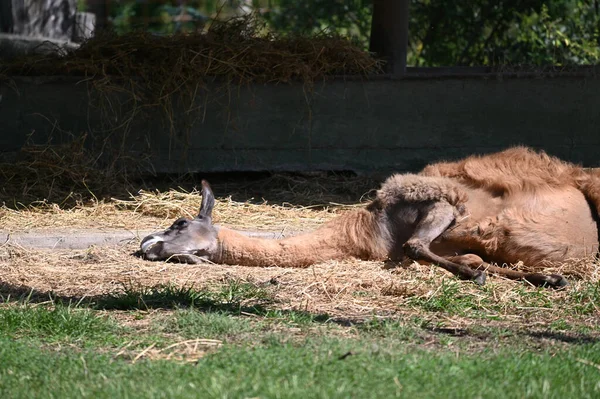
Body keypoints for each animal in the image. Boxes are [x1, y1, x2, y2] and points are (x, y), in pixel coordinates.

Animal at [139, 147, 600, 288]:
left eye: (179, 224)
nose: (146, 244)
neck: (369, 229)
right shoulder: (455, 238)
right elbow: (473, 259)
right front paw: (548, 278)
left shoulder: (439, 202)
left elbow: (417, 244)